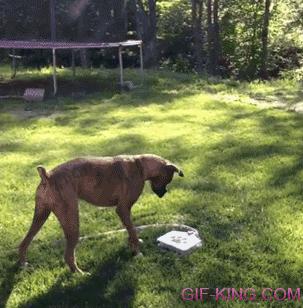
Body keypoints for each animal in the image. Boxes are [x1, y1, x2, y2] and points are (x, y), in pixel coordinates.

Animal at [19, 155, 185, 274]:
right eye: (168, 179)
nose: (164, 193)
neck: (140, 165)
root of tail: (47, 175)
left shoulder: (124, 212)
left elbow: (131, 230)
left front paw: (133, 243)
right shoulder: (123, 209)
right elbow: (132, 229)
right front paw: (137, 252)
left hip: (40, 215)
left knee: (24, 242)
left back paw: (23, 264)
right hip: (71, 221)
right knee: (68, 255)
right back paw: (79, 273)